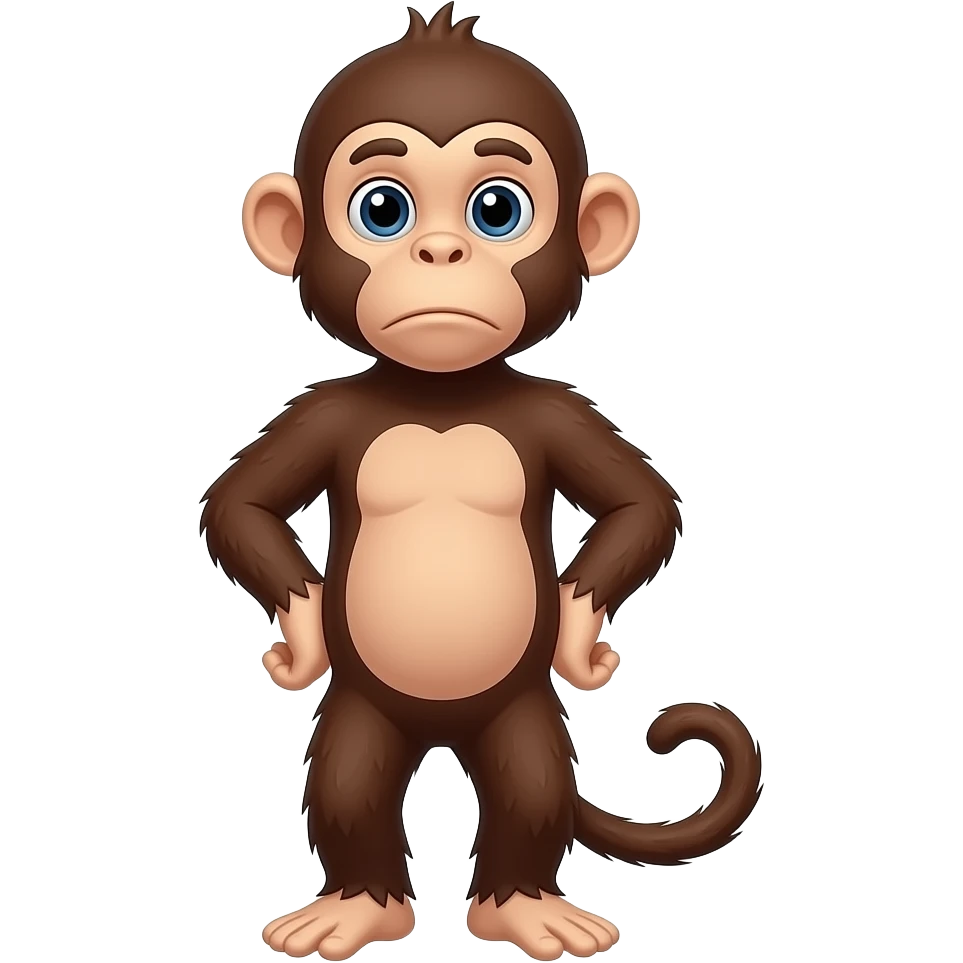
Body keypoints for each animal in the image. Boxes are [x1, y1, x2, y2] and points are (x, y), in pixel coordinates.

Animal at [203, 5, 763, 960]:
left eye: (496, 207)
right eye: (381, 208)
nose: (441, 249)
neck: (441, 393)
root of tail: (441, 727)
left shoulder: (557, 410)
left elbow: (641, 503)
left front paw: (580, 640)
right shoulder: (320, 410)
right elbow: (239, 503)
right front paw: (301, 638)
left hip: (518, 713)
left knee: (531, 783)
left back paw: (524, 906)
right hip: (364, 711)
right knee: (346, 781)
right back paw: (357, 905)